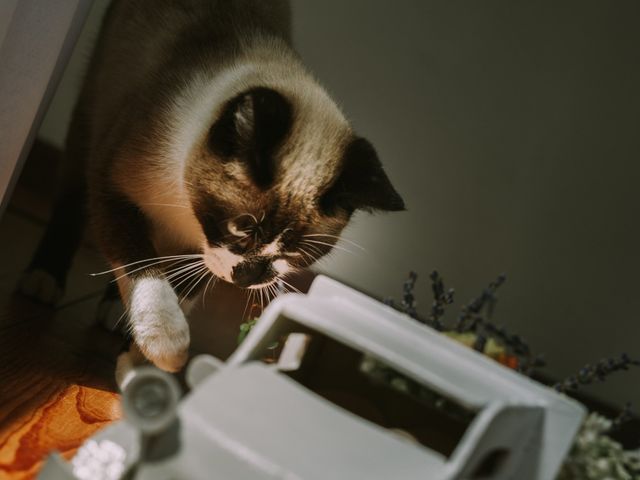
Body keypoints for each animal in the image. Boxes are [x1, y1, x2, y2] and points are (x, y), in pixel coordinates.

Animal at [20, 0, 404, 374]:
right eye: (240, 230)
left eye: (293, 254)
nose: (247, 279)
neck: (185, 212)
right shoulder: (112, 188)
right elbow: (142, 267)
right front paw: (167, 346)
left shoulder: (203, 255)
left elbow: (184, 288)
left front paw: (139, 358)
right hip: (90, 113)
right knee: (71, 201)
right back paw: (44, 279)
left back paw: (116, 311)